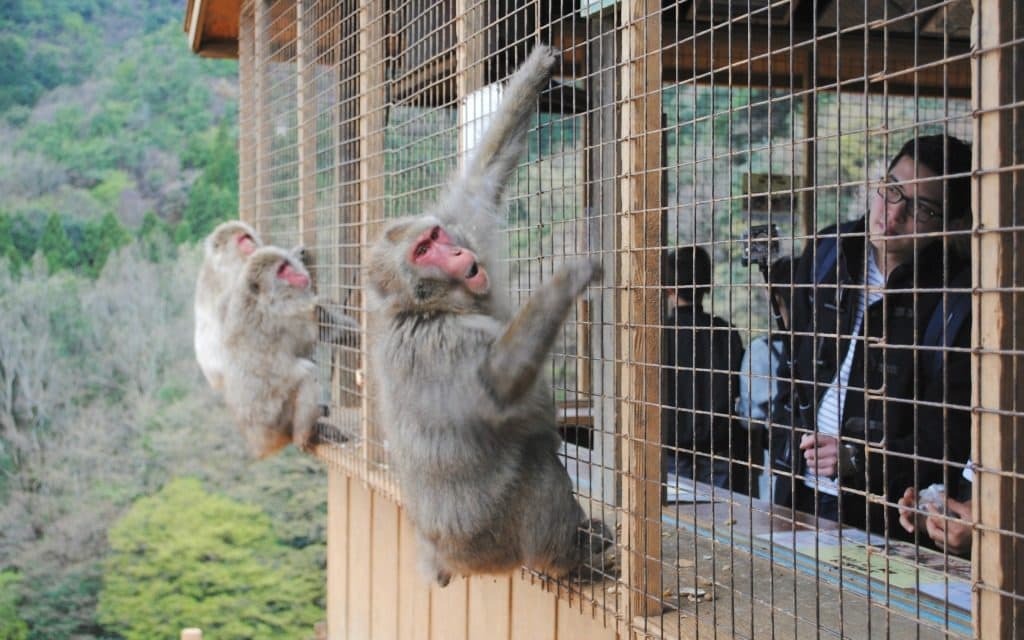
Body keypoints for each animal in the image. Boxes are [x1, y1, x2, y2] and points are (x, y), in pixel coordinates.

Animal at [221, 246, 323, 458]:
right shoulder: (287, 312)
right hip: (277, 413)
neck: (262, 297)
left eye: (285, 264)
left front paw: (297, 253)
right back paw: (302, 434)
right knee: (308, 372)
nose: (297, 274)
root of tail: (260, 442)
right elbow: (311, 334)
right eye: (281, 271)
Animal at [367, 45, 612, 586]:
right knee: (536, 459)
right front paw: (569, 276)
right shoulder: (441, 342)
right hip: (491, 541)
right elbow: (497, 386)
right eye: (423, 252)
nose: (458, 254)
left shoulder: (465, 222)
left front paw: (537, 69)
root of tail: (442, 554)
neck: (435, 305)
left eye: (437, 236)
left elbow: (483, 180)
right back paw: (568, 558)